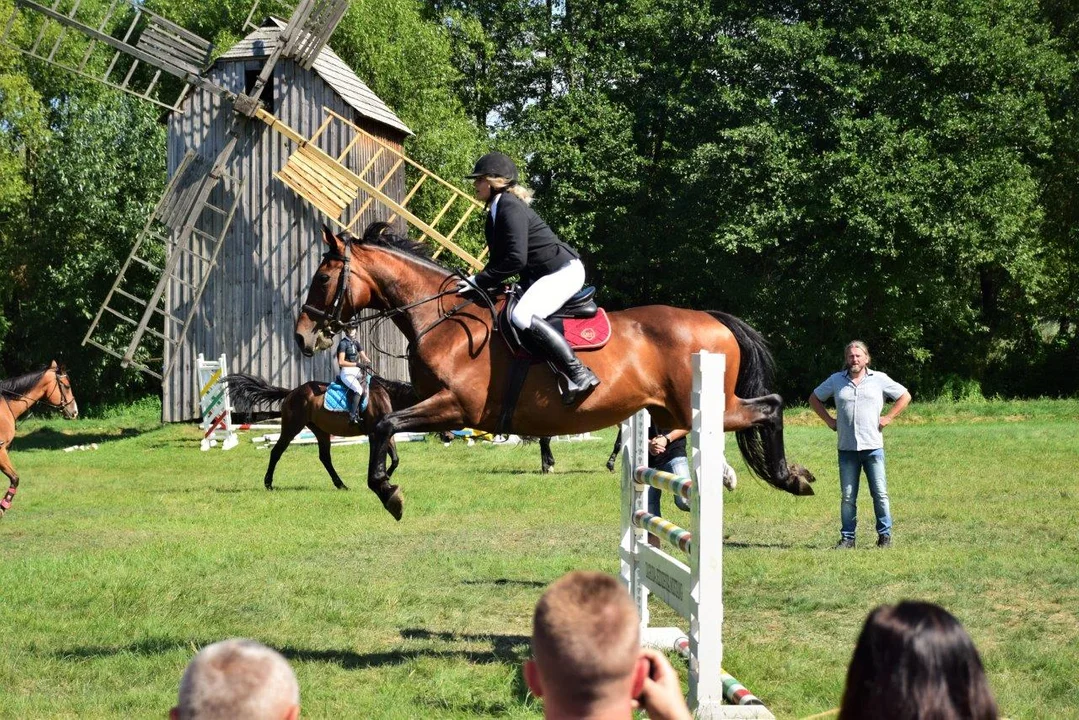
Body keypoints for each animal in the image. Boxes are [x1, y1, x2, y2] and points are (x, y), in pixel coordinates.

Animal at [225, 371, 414, 490]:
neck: (387, 395)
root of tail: (292, 392)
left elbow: (395, 459)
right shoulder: (376, 433)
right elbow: (388, 458)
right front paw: (382, 479)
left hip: (321, 431)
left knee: (325, 458)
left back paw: (340, 484)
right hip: (292, 428)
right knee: (277, 451)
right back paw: (268, 483)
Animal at [291, 222, 811, 520]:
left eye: (323, 277)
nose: (302, 337)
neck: (442, 319)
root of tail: (713, 319)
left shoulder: (455, 407)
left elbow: (384, 424)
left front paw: (387, 492)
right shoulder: (422, 399)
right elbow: (381, 419)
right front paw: (387, 476)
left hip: (707, 405)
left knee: (770, 407)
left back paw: (789, 476)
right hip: (672, 409)